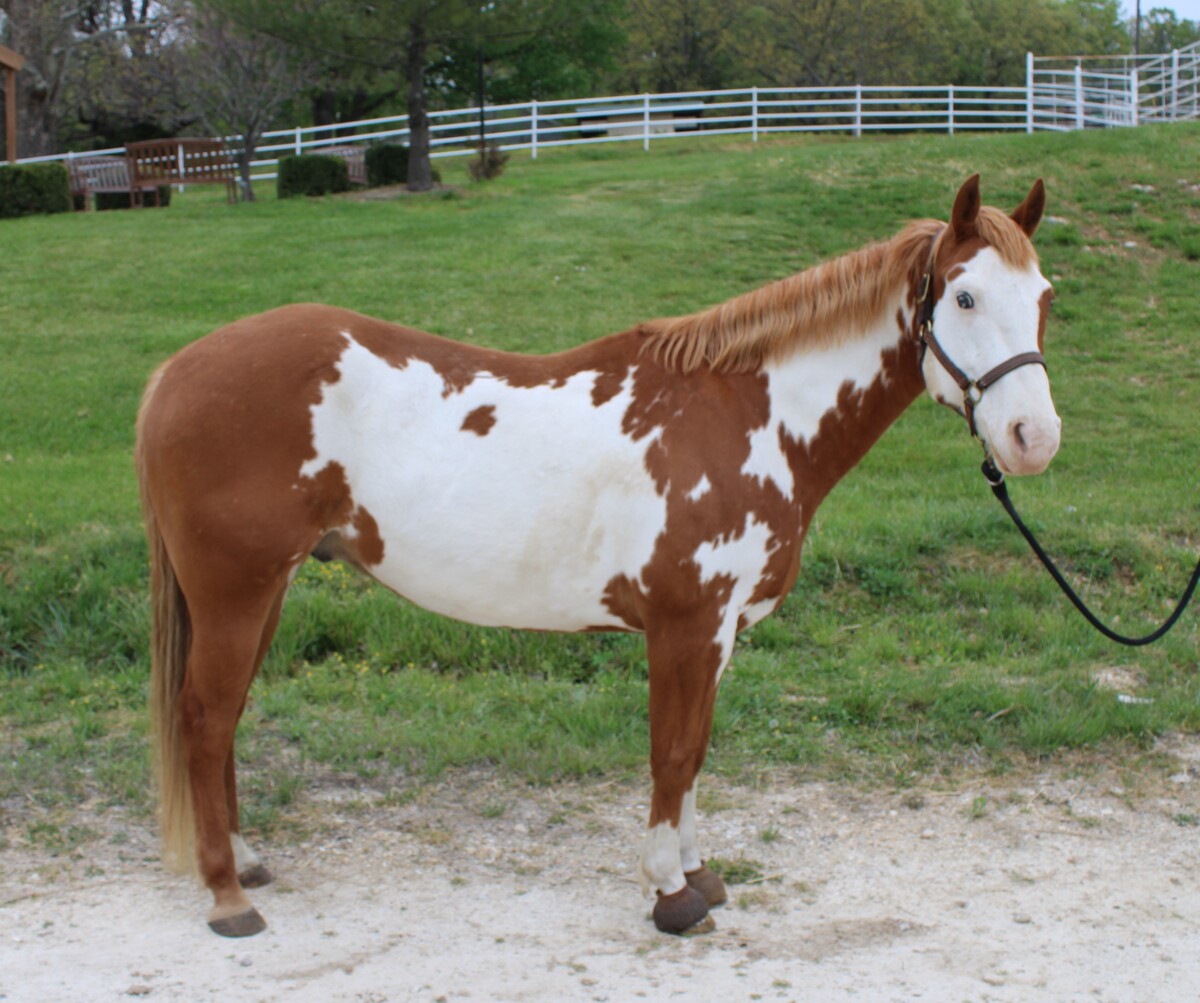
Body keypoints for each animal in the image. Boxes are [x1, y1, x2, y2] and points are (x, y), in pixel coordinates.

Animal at [135, 174, 1060, 938]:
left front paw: (698, 872)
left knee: (222, 721)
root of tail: (174, 372)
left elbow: (697, 750)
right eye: (965, 295)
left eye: (1044, 295)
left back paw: (247, 861)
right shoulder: (685, 626)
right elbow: (673, 753)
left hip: (264, 592)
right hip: (235, 591)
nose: (1034, 437)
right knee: (205, 719)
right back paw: (228, 895)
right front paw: (671, 894)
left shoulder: (717, 632)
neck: (751, 418)